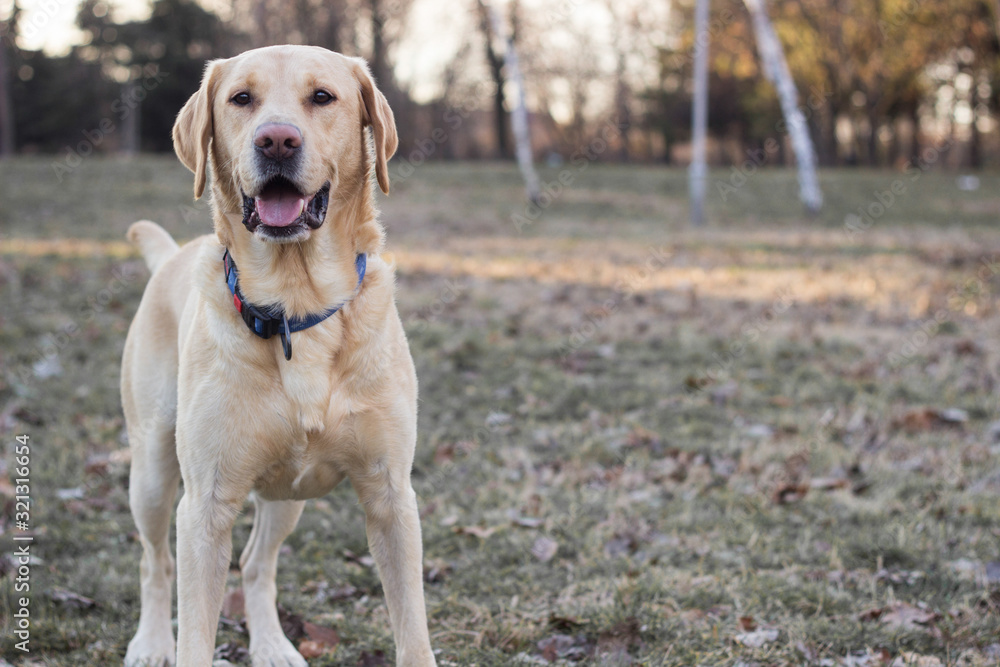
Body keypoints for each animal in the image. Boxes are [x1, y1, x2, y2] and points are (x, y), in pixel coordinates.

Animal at [119, 44, 436, 664]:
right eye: (241, 98)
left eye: (323, 97)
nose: (277, 141)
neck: (296, 304)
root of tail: (172, 255)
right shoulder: (206, 506)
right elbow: (194, 631)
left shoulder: (392, 498)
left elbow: (413, 630)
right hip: (152, 471)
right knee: (155, 561)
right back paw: (149, 641)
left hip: (288, 493)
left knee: (255, 565)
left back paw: (270, 644)